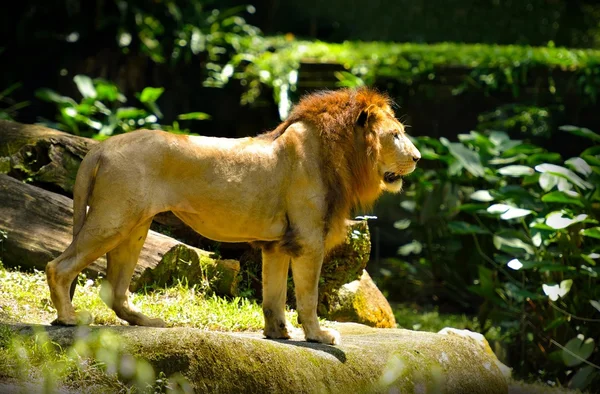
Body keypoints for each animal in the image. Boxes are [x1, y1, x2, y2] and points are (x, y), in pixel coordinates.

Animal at [47, 87, 420, 344]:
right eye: (396, 135)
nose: (417, 157)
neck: (338, 153)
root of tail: (101, 147)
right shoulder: (309, 240)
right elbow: (308, 297)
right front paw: (319, 336)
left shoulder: (278, 244)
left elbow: (273, 296)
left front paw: (277, 333)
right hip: (113, 219)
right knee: (59, 266)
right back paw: (67, 318)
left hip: (134, 226)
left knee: (114, 289)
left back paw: (147, 322)